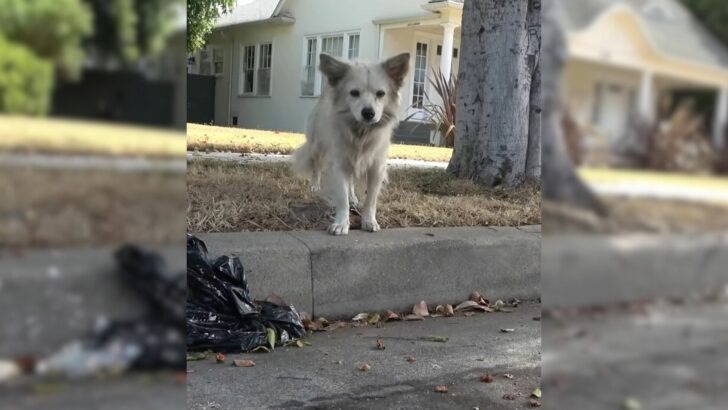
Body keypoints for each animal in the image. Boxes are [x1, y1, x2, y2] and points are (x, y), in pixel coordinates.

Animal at [292, 52, 412, 235]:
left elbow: (370, 200)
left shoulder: (376, 168)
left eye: (380, 93)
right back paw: (315, 186)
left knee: (351, 183)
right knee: (317, 166)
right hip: (318, 146)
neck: (361, 133)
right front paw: (341, 223)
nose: (368, 113)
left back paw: (353, 198)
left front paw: (369, 220)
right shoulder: (340, 164)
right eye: (354, 93)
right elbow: (342, 197)